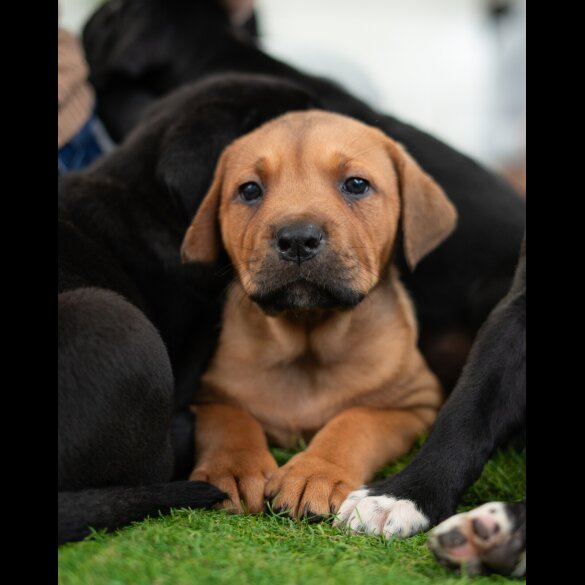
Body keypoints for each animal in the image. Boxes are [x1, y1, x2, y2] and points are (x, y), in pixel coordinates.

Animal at [181, 109, 456, 516]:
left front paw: (315, 472)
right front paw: (231, 467)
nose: (297, 238)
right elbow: (229, 420)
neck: (307, 342)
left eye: (356, 184)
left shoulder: (414, 404)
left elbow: (354, 423)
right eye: (250, 190)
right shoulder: (208, 395)